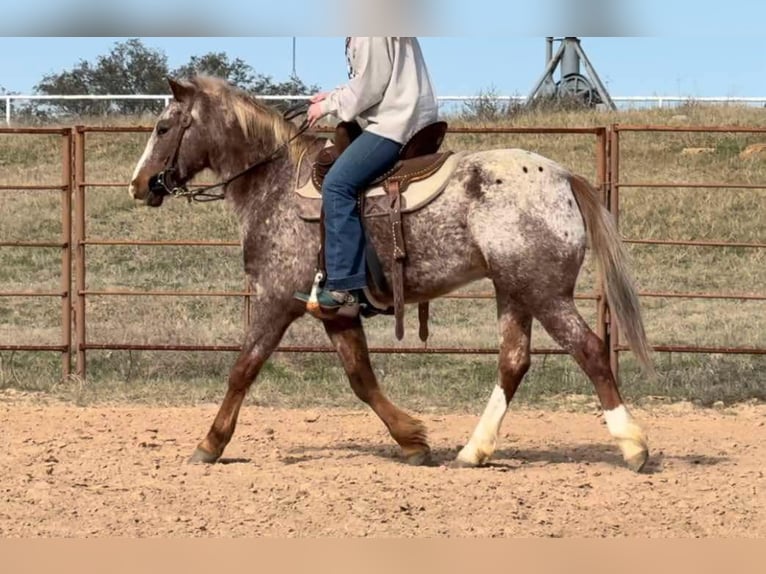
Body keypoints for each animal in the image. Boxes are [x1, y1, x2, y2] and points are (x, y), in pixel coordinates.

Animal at [129, 76, 653, 472]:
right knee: (513, 361)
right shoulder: (334, 311)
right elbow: (361, 377)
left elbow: (244, 368)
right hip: (514, 290)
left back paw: (633, 446)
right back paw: (474, 451)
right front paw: (413, 441)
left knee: (589, 350)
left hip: (544, 292)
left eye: (163, 126)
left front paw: (210, 444)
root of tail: (563, 176)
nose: (139, 184)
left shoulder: (275, 300)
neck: (273, 183)